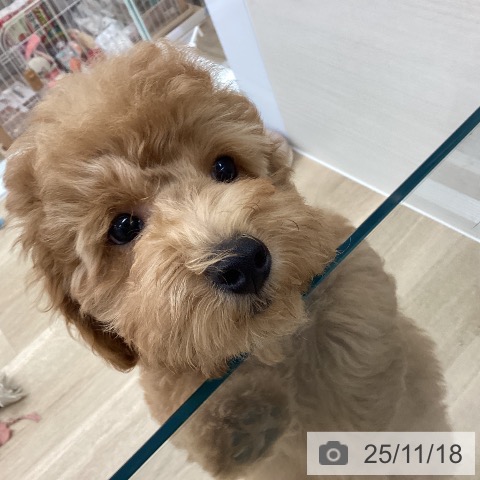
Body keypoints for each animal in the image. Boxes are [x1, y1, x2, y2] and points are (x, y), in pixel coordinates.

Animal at [5, 42, 449, 479]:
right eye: (123, 226)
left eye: (224, 166)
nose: (244, 262)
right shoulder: (169, 388)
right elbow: (187, 394)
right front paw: (243, 419)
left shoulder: (342, 256)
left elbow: (355, 310)